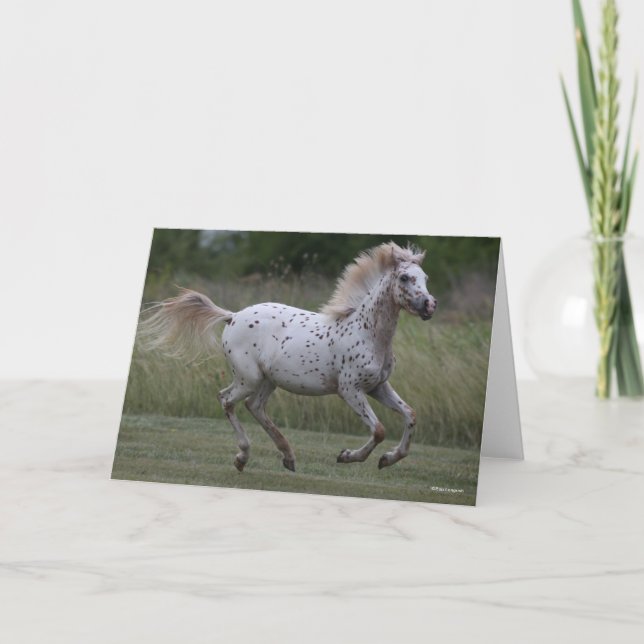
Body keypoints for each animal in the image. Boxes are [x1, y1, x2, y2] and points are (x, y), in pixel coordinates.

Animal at [139, 241, 437, 472]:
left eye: (425, 278)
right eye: (404, 278)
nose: (429, 305)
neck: (366, 333)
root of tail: (233, 316)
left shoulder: (377, 387)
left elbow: (410, 415)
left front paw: (387, 459)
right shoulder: (350, 390)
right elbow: (378, 430)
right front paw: (347, 457)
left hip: (268, 380)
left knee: (254, 407)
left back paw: (288, 457)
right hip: (249, 378)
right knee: (227, 400)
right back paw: (243, 457)